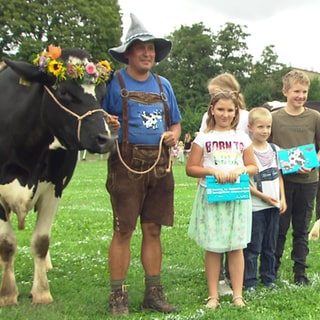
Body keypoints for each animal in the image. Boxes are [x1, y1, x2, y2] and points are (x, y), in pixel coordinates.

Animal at [0, 47, 117, 304]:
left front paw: (41, 292)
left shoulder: (54, 187)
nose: (106, 139)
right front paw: (8, 294)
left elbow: (41, 241)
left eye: (101, 93)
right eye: (63, 91)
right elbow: (6, 243)